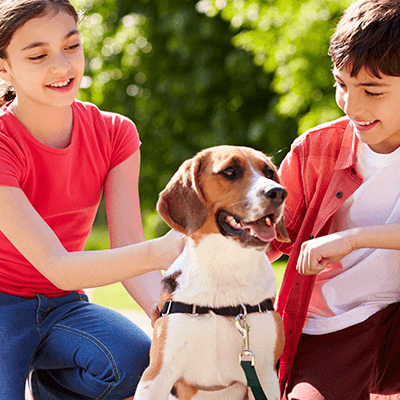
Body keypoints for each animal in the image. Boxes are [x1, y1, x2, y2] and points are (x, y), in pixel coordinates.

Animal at [136, 145, 290, 398]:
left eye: (269, 172)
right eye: (230, 171)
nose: (279, 192)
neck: (225, 265)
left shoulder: (265, 376)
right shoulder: (156, 376)